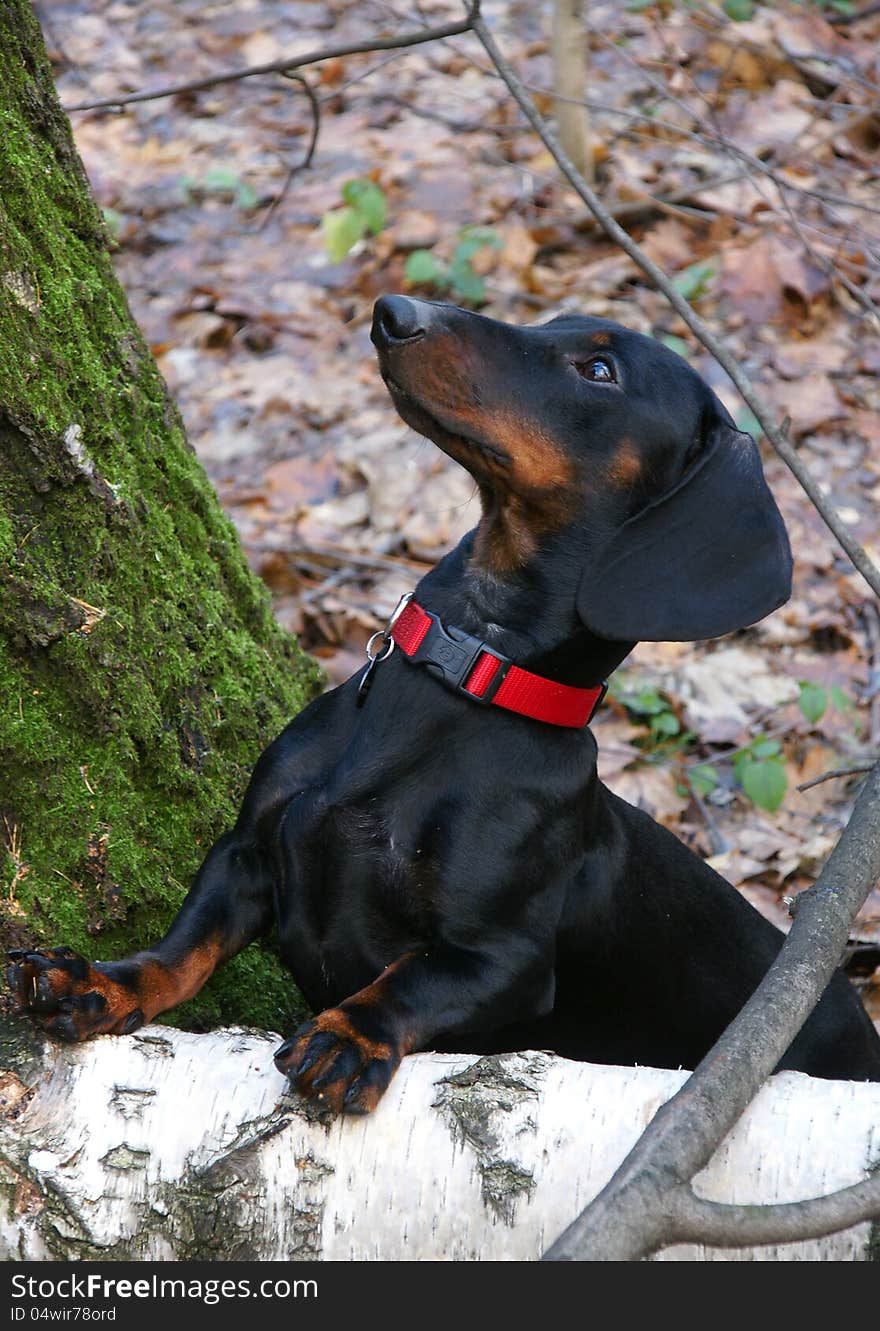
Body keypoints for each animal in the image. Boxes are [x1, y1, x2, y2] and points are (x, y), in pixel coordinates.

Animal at [8, 296, 878, 1107]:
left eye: (600, 371)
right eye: (556, 321)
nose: (393, 312)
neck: (460, 676)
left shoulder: (503, 960)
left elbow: (411, 980)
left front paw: (350, 1036)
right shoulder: (247, 851)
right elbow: (185, 944)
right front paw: (102, 981)